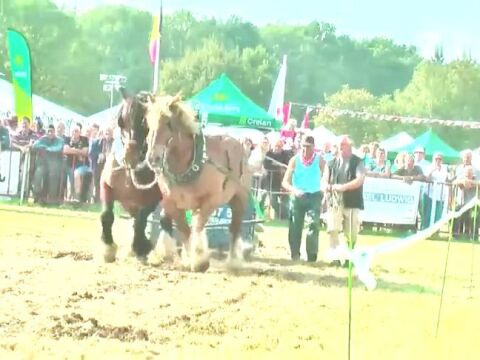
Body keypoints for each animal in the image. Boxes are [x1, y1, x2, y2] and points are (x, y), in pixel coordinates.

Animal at [97, 89, 172, 264]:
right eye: (121, 121)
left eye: (145, 123)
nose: (130, 156)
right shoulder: (106, 185)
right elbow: (106, 215)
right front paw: (108, 249)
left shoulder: (153, 199)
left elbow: (141, 221)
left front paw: (141, 247)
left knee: (162, 221)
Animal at [137, 94, 266, 272]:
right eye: (148, 122)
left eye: (169, 123)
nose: (152, 158)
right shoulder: (170, 203)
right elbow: (184, 230)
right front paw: (188, 257)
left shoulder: (209, 201)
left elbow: (197, 226)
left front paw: (199, 261)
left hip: (239, 198)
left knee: (234, 227)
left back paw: (233, 260)